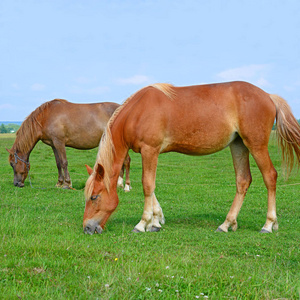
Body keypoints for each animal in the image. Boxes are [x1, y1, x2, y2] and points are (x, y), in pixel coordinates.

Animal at [82, 81, 300, 234]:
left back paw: (268, 225)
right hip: (238, 145)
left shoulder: (149, 150)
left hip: (256, 145)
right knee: (243, 180)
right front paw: (156, 221)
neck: (137, 112)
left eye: (94, 197)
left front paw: (143, 223)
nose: (87, 228)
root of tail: (269, 96)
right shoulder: (150, 153)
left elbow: (147, 185)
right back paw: (227, 224)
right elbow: (152, 187)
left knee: (270, 177)